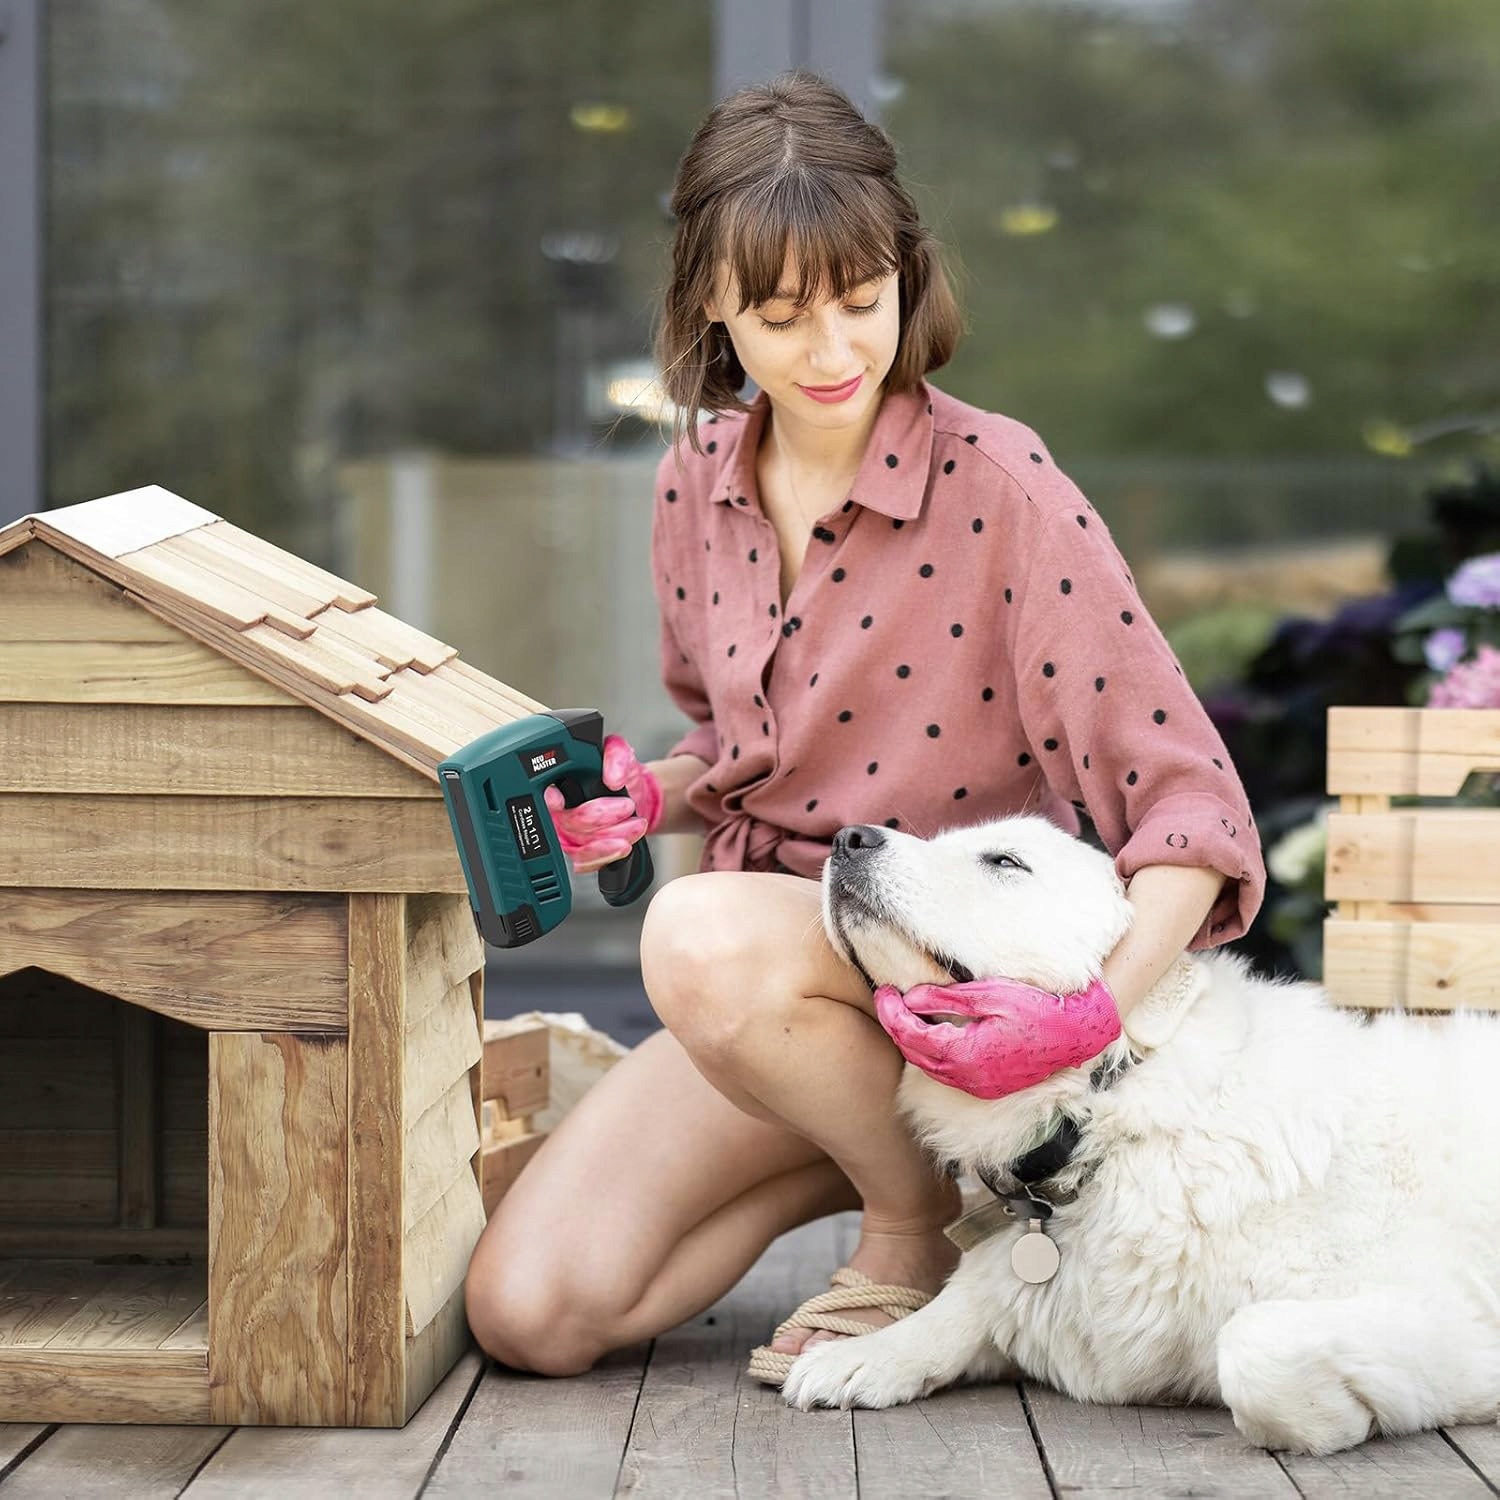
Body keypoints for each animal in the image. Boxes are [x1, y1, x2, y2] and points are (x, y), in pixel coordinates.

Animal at [781, 815, 1500, 1455]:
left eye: (1004, 861)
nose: (847, 838)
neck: (1103, 1120)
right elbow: (964, 1303)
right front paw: (862, 1354)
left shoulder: (1449, 1317)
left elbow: (1254, 1345)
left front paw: (1336, 1421)